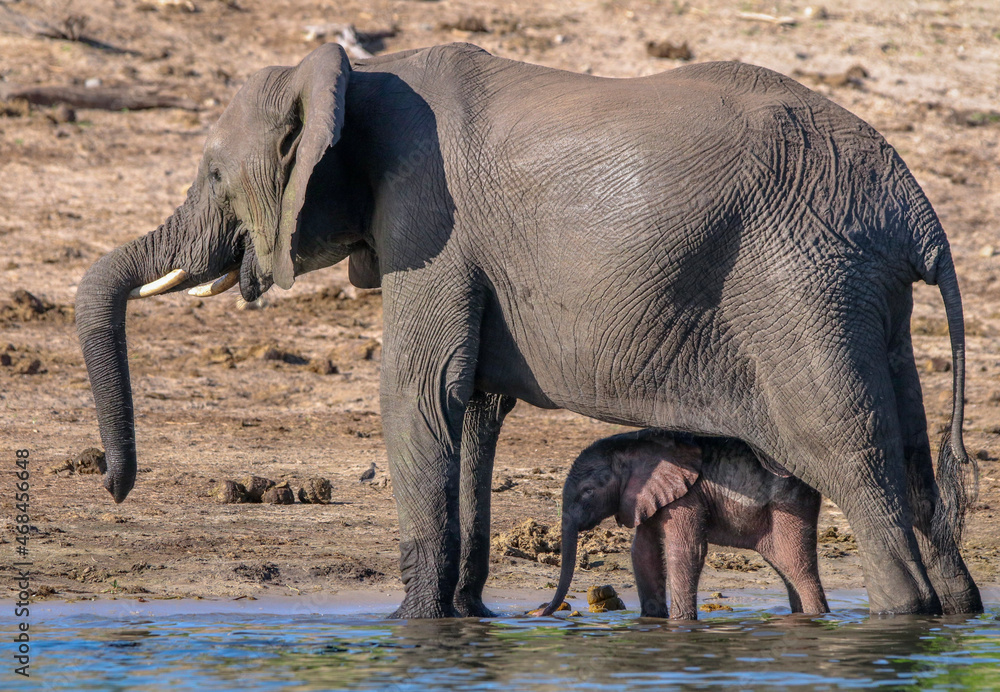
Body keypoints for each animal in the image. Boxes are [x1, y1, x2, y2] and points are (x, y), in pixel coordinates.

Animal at [539, 430, 830, 619]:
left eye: (588, 491)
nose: (540, 611)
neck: (631, 447)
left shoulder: (687, 496)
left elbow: (685, 550)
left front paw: (680, 623)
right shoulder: (647, 496)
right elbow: (643, 551)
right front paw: (652, 620)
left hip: (791, 506)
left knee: (795, 564)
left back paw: (818, 617)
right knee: (784, 566)